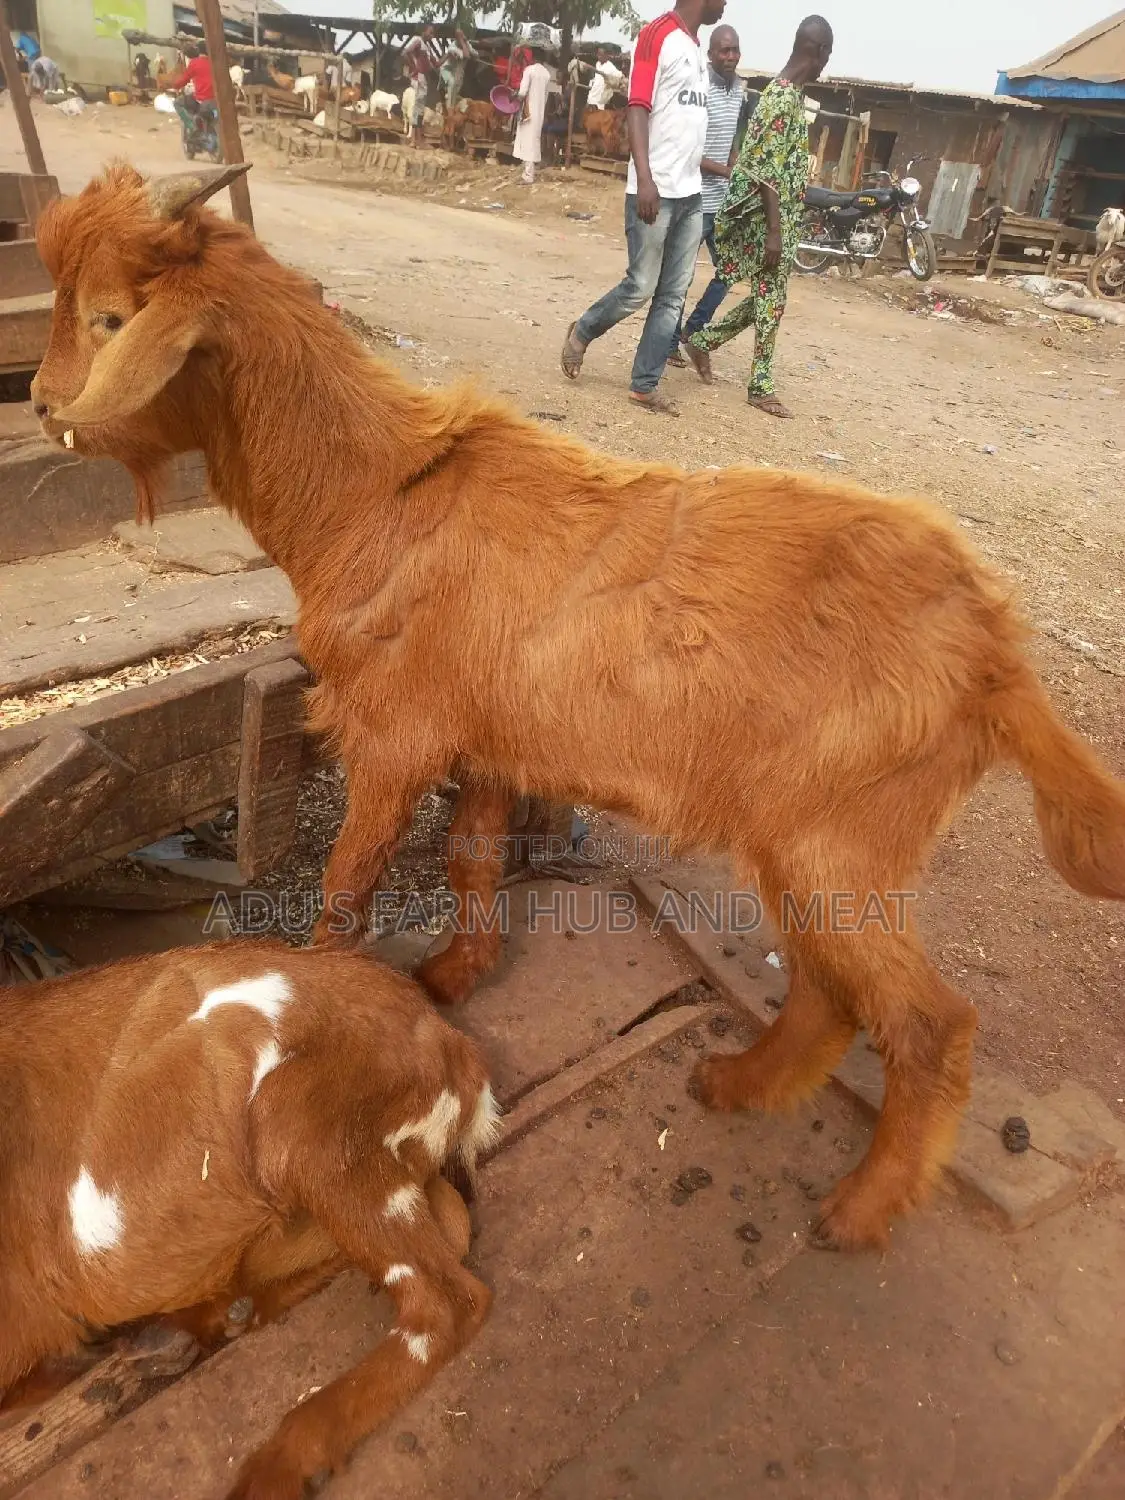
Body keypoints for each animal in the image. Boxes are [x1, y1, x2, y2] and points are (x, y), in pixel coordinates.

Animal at [0, 936, 498, 1497]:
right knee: (450, 1222)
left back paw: (274, 1466)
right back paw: (185, 1333)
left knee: (446, 1302)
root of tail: (452, 1044)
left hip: (304, 1125)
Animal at [30, 162, 1125, 1253]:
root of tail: (996, 648)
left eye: (111, 316)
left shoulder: (393, 737)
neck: (377, 493)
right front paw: (454, 976)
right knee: (826, 987)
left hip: (842, 832)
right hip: (807, 837)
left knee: (928, 1022)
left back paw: (859, 1209)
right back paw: (740, 1083)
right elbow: (472, 858)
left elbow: (346, 891)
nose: (40, 403)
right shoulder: (487, 741)